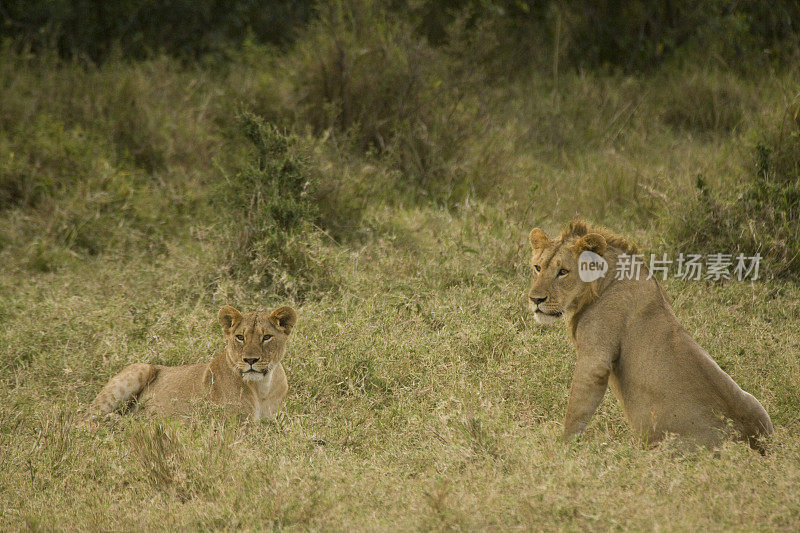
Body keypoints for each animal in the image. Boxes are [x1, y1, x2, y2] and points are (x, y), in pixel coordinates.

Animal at [86, 306, 296, 422]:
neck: (262, 388)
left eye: (266, 337)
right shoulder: (234, 425)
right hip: (140, 368)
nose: (250, 360)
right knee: (86, 419)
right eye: (240, 337)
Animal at [528, 219, 772, 448]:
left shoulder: (594, 359)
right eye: (538, 267)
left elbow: (576, 409)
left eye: (563, 272)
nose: (535, 300)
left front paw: (562, 448)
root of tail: (751, 443)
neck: (601, 284)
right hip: (756, 405)